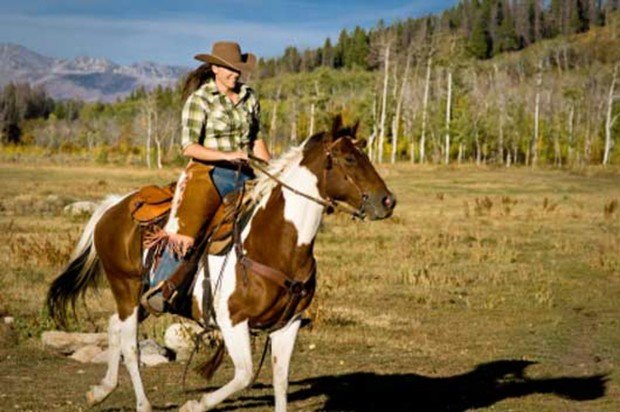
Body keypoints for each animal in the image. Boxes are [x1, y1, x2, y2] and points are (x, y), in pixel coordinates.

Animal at [48, 116, 398, 412]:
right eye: (349, 159)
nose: (388, 201)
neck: (273, 244)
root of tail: (113, 207)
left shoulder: (288, 324)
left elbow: (280, 380)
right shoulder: (233, 322)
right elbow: (244, 374)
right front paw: (194, 405)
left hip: (143, 298)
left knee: (113, 326)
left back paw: (101, 390)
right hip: (125, 289)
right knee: (130, 345)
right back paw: (142, 404)